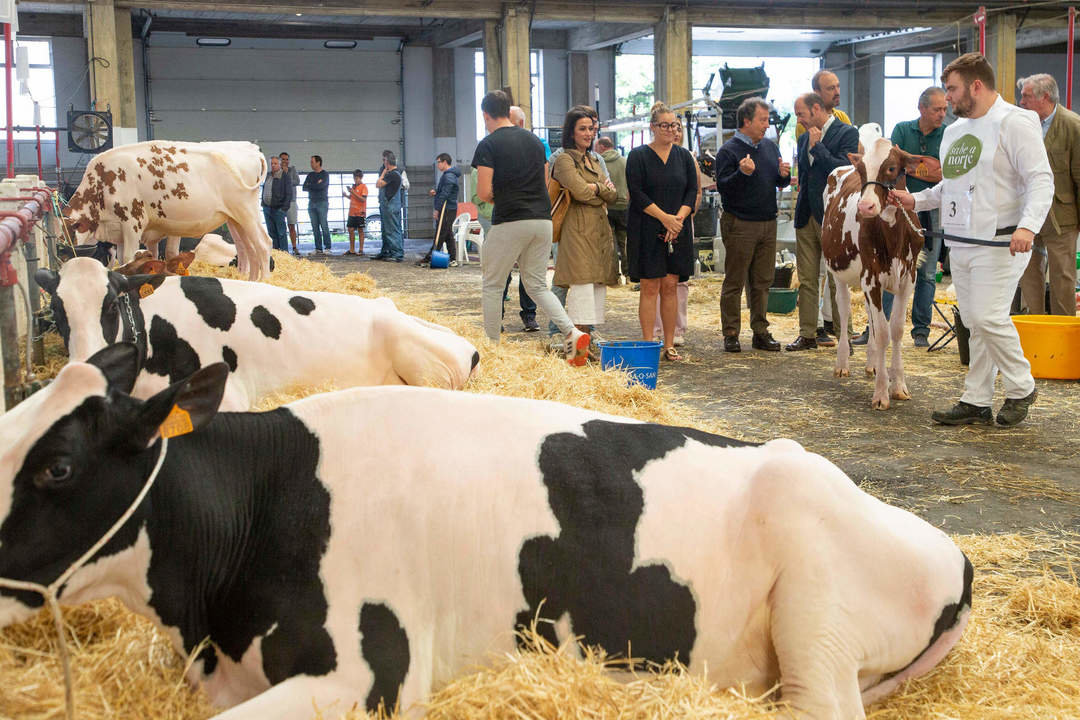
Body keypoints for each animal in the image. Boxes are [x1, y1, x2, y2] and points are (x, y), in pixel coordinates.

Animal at [63, 140, 272, 278]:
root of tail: (251, 149)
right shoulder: (119, 231)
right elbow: (128, 258)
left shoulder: (133, 222)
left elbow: (130, 255)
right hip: (235, 218)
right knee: (249, 249)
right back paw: (252, 281)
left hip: (246, 211)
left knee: (263, 244)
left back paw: (264, 282)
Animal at [820, 131, 924, 410]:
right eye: (863, 170)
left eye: (891, 168)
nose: (865, 207)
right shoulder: (871, 278)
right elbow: (883, 333)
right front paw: (881, 393)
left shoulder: (908, 279)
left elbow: (895, 329)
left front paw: (898, 386)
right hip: (838, 272)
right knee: (845, 310)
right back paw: (842, 363)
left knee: (871, 320)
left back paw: (872, 365)